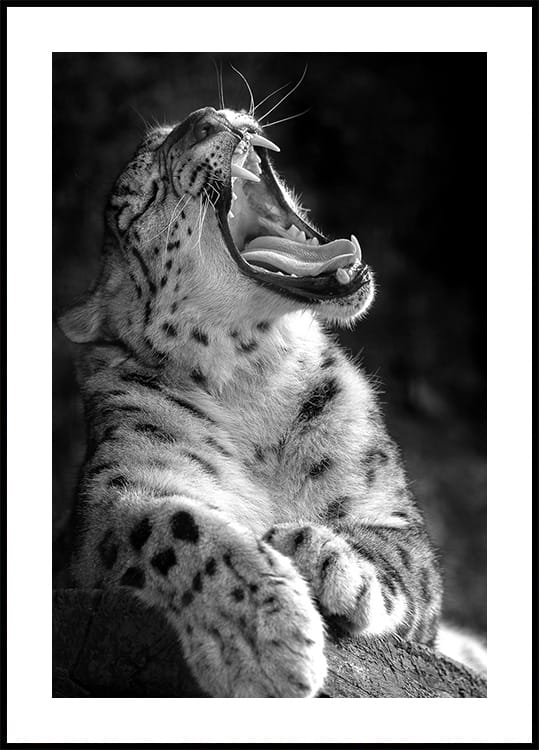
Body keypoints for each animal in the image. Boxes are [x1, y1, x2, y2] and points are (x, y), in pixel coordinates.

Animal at [58, 105, 481, 697]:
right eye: (144, 196)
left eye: (166, 135)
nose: (204, 117)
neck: (256, 386)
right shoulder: (114, 500)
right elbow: (177, 524)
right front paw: (269, 640)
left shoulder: (394, 515)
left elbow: (395, 552)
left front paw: (318, 553)